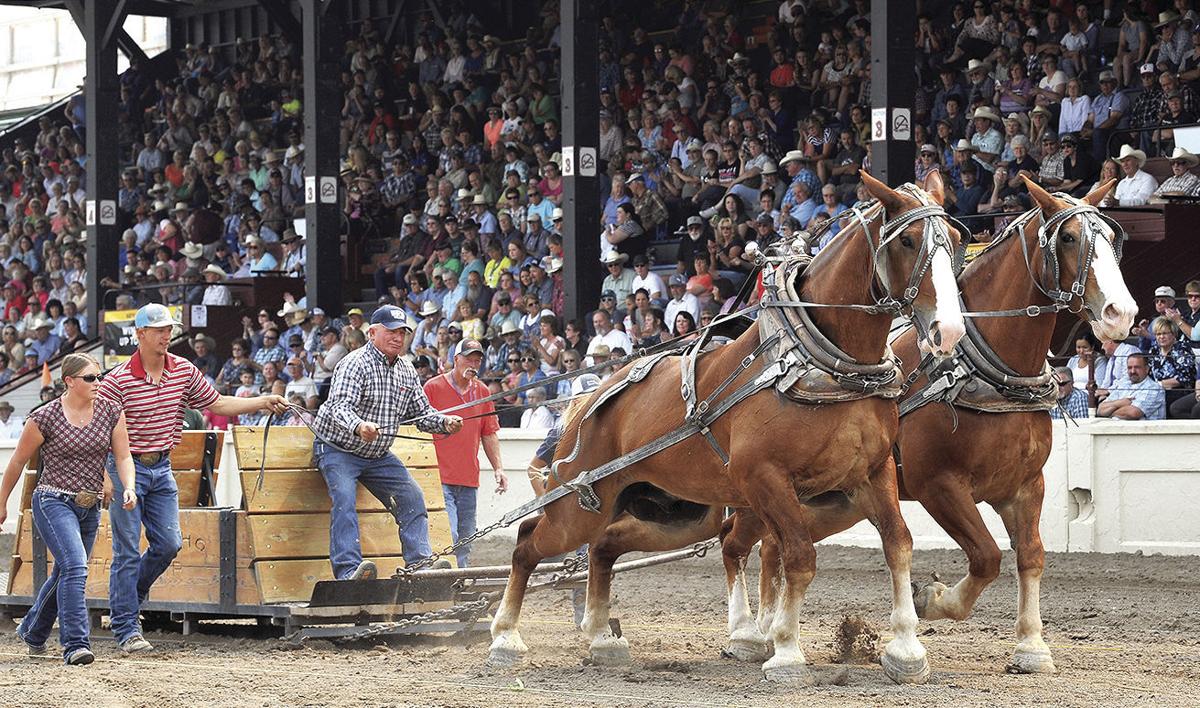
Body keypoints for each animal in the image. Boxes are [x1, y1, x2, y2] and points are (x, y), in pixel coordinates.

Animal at [487, 169, 964, 686]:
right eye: (909, 241)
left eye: (957, 239)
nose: (950, 331)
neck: (824, 365)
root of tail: (586, 400)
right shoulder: (766, 479)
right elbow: (799, 557)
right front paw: (786, 651)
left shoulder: (873, 473)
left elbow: (898, 544)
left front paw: (906, 648)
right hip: (580, 507)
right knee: (528, 542)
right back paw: (505, 638)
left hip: (672, 515)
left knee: (604, 548)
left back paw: (600, 638)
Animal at [710, 177, 1132, 676]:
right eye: (1068, 237)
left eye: (1112, 239)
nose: (1121, 313)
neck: (989, 369)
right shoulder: (939, 484)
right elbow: (987, 556)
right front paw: (932, 599)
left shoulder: (1026, 484)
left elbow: (1031, 556)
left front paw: (1031, 645)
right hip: (764, 487)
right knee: (735, 542)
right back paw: (748, 633)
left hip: (828, 501)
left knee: (775, 548)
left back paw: (771, 628)